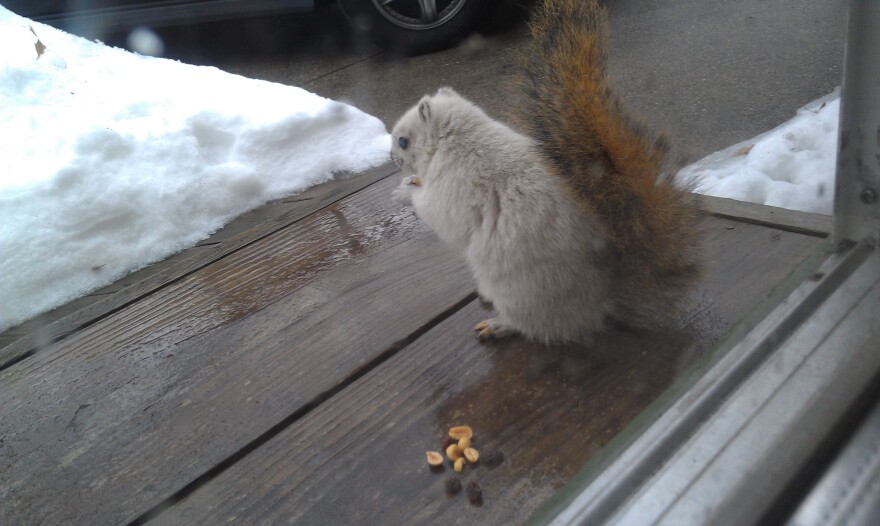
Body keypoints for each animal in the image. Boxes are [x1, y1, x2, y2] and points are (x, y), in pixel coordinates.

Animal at [390, 0, 703, 345]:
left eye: (403, 141)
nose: (391, 158)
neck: (458, 138)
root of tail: (602, 299)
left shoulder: (456, 184)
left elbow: (438, 214)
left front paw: (405, 192)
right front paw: (411, 181)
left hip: (522, 292)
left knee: (534, 325)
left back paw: (499, 325)